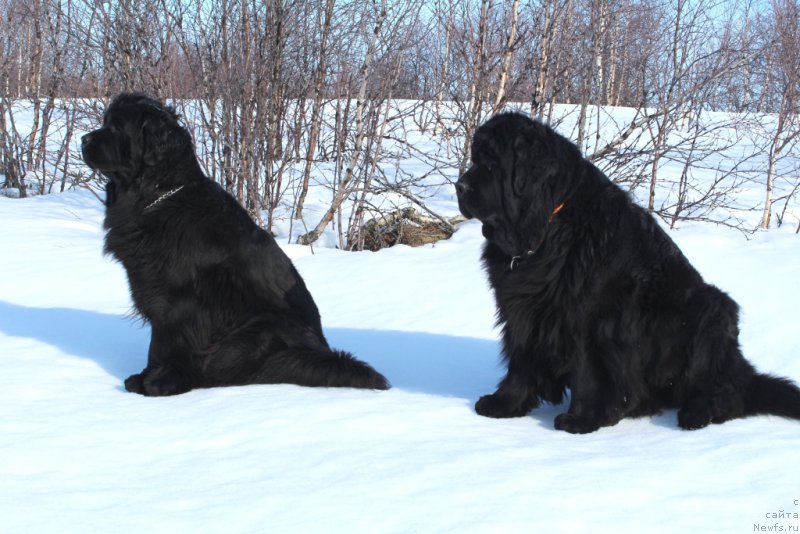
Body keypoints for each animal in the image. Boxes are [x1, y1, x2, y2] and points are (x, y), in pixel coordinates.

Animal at [81, 94, 388, 398]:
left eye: (116, 128)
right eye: (105, 123)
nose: (84, 139)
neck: (159, 195)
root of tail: (320, 350)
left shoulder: (178, 297)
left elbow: (166, 341)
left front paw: (161, 382)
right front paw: (144, 378)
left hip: (261, 328)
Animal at [456, 113, 800, 436]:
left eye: (492, 162)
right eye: (475, 159)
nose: (459, 186)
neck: (546, 229)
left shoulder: (592, 317)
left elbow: (588, 370)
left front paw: (581, 419)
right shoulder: (523, 309)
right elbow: (521, 360)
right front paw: (504, 403)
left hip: (711, 309)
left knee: (727, 391)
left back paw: (696, 413)